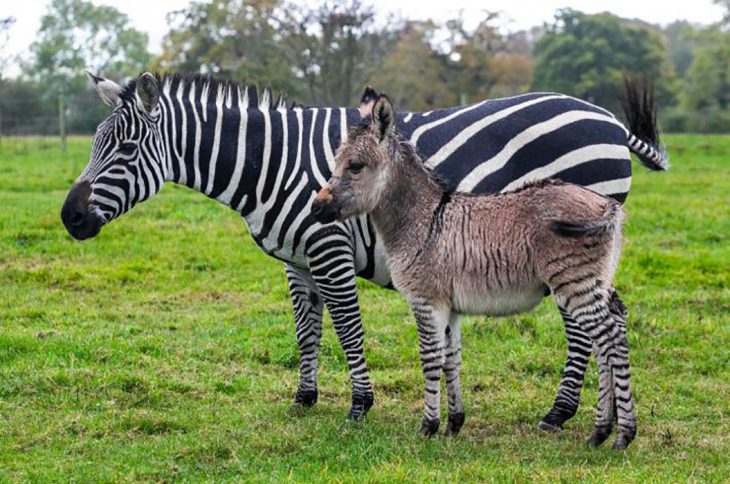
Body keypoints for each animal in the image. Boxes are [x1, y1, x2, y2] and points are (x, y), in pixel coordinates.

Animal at [61, 71, 664, 428]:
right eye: (94, 145)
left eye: (126, 149)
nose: (69, 217)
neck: (268, 164)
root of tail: (607, 118)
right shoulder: (297, 260)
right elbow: (306, 331)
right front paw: (304, 398)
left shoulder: (328, 247)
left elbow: (348, 328)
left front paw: (359, 404)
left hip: (570, 250)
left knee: (584, 329)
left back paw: (560, 413)